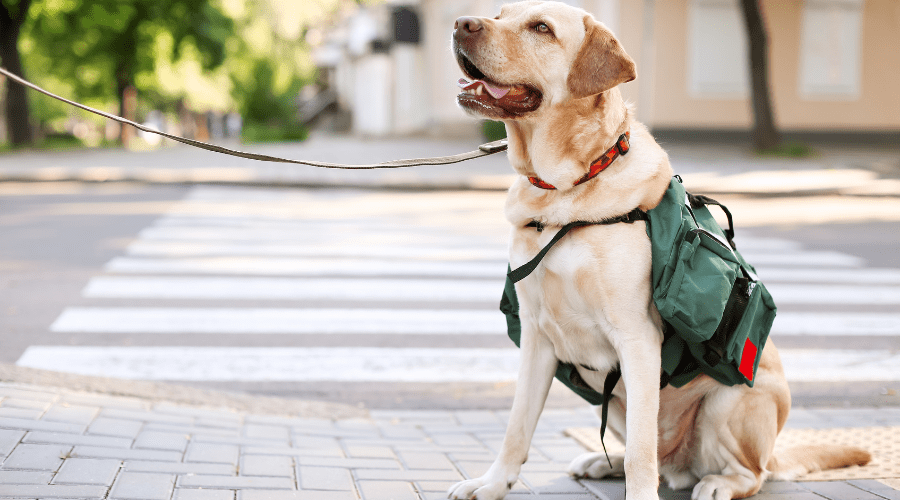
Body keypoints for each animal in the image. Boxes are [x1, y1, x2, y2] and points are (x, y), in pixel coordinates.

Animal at [450, 0, 872, 500]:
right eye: (500, 14)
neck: (565, 193)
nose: (461, 23)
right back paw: (601, 460)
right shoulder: (536, 335)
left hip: (729, 403)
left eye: (541, 28)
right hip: (612, 403)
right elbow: (516, 426)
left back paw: (717, 482)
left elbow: (639, 451)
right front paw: (493, 483)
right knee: (648, 451)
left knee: (750, 473)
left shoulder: (637, 339)